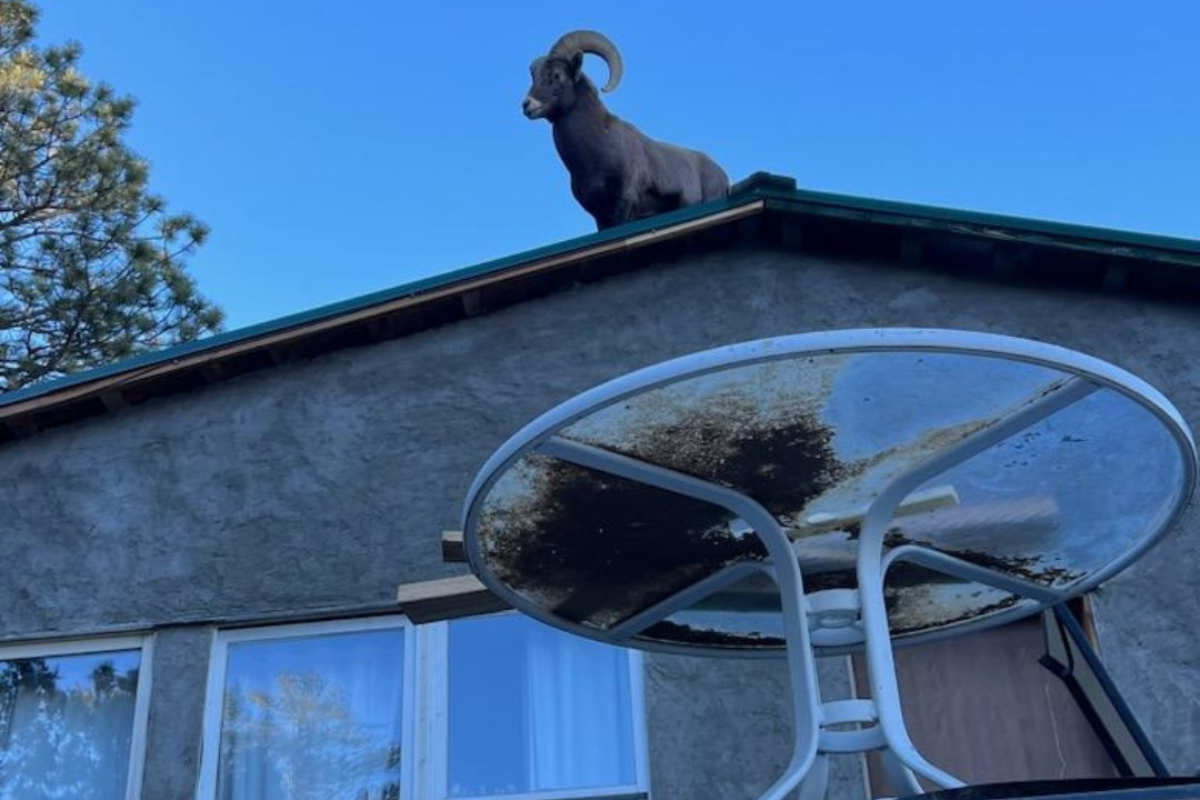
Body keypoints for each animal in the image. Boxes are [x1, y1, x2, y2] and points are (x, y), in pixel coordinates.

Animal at [522, 30, 730, 231]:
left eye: (557, 75)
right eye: (535, 76)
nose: (527, 105)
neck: (595, 156)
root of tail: (722, 175)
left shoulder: (625, 203)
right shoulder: (600, 218)